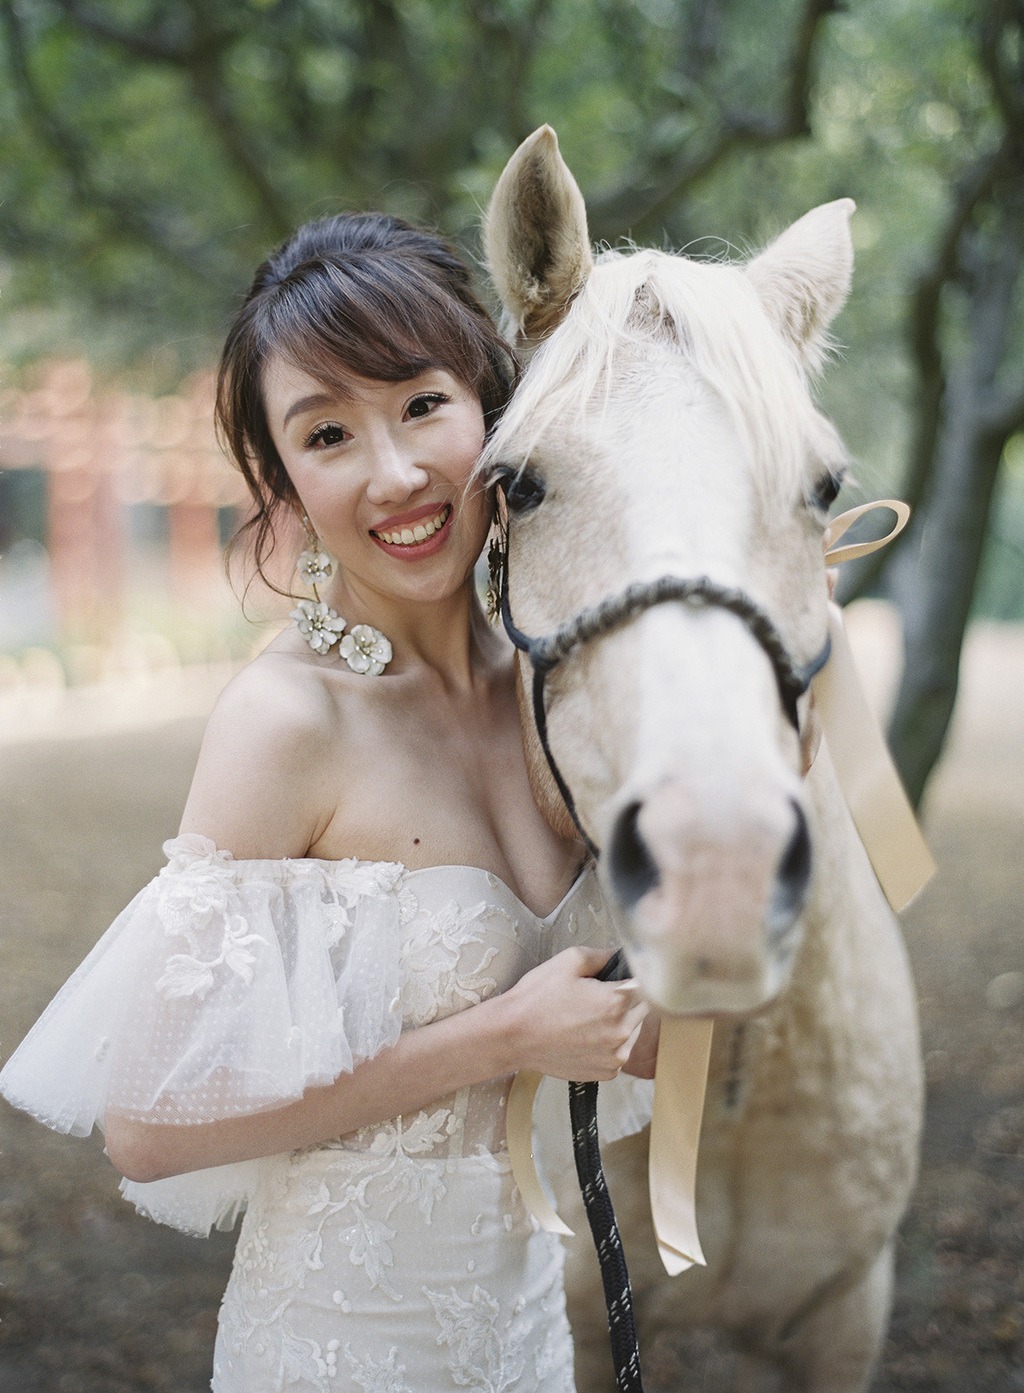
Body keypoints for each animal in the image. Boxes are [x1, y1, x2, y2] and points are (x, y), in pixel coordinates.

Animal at [484, 128, 925, 1393]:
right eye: (517, 484)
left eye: (822, 487)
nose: (715, 872)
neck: (729, 1073)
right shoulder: (580, 1333)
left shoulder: (844, 1318)